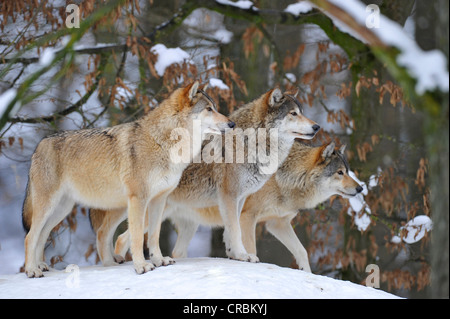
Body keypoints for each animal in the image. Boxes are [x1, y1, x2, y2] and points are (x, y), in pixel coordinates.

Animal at [20, 82, 232, 278]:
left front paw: (159, 260)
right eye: (209, 109)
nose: (232, 124)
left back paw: (46, 266)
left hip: (66, 209)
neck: (164, 142)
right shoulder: (139, 199)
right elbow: (137, 237)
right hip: (50, 206)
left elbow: (153, 235)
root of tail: (40, 144)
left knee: (50, 235)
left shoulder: (159, 200)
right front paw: (142, 266)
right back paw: (32, 270)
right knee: (31, 236)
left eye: (215, 107)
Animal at [90, 87, 320, 264]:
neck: (251, 143)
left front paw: (234, 254)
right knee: (117, 236)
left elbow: (232, 230)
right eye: (293, 114)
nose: (317, 126)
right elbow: (235, 230)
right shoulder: (229, 196)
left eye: (301, 112)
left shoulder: (240, 199)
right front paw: (244, 255)